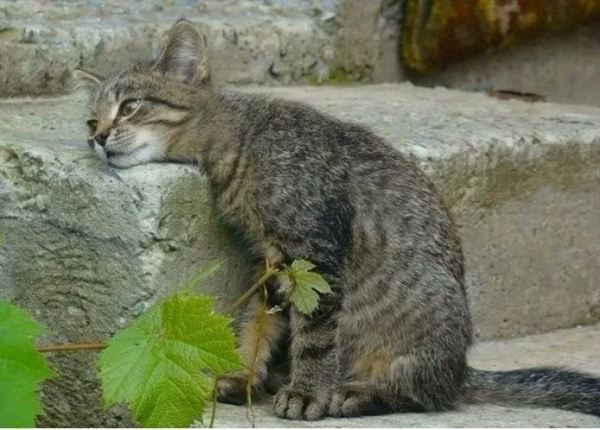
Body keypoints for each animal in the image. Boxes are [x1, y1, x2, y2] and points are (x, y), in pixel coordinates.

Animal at [76, 20, 600, 420]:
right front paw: (243, 375)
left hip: (422, 324)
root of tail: (459, 369)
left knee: (424, 394)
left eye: (130, 106)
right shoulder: (273, 265)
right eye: (90, 120)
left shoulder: (316, 254)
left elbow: (315, 337)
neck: (241, 143)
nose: (98, 138)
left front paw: (307, 392)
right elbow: (255, 325)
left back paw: (354, 394)